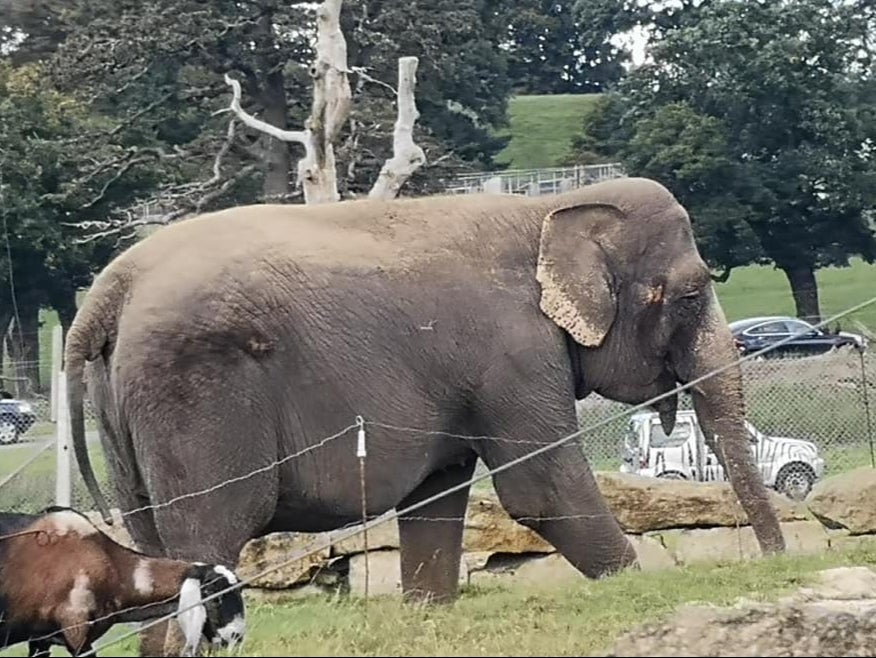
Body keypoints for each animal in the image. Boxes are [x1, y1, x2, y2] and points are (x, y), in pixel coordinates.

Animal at [65, 173, 784, 616]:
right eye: (691, 294)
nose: (778, 563)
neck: (546, 212)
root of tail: (107, 293)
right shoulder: (515, 356)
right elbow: (542, 490)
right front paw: (640, 585)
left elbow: (436, 497)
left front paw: (428, 611)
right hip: (193, 391)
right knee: (205, 542)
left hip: (124, 410)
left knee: (151, 550)